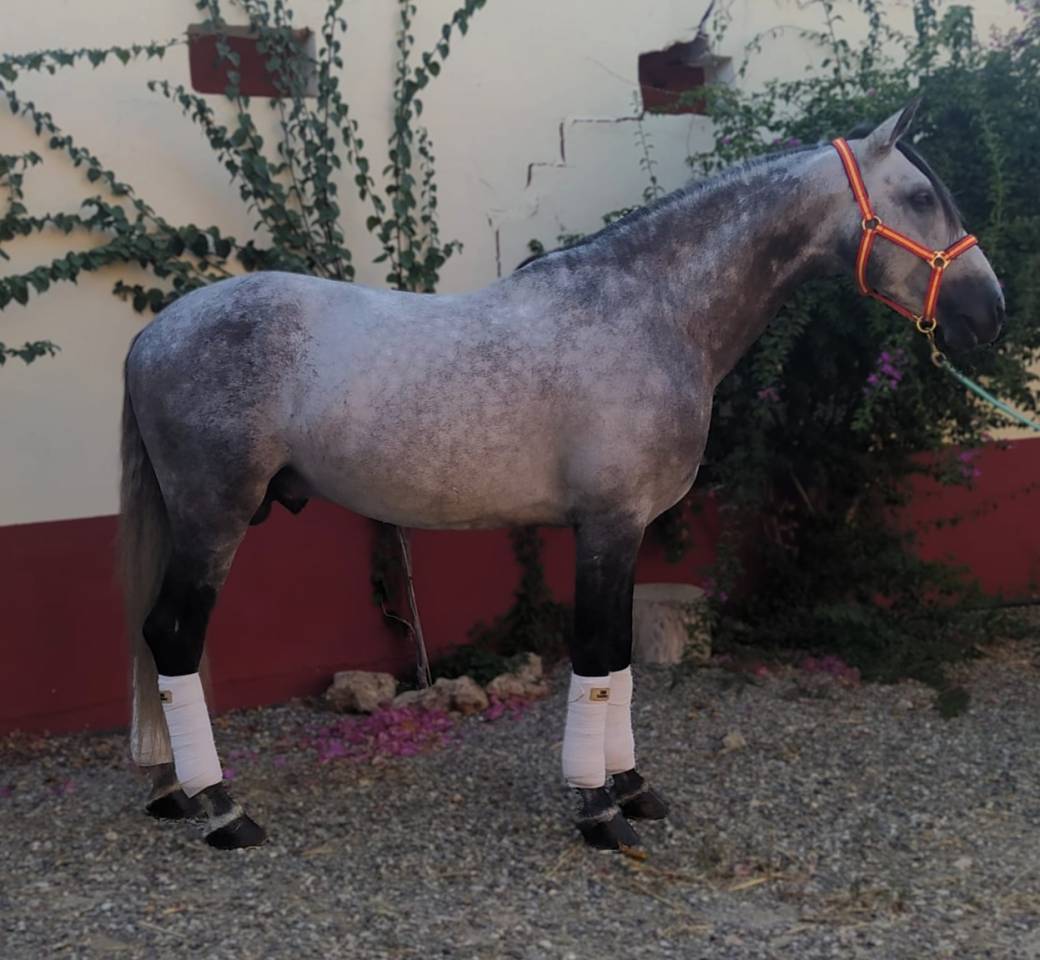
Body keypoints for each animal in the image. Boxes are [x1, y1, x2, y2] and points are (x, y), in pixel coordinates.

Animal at [120, 101, 1004, 850]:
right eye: (920, 196)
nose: (989, 313)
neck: (651, 311)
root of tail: (153, 335)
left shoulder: (628, 526)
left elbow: (618, 658)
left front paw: (633, 787)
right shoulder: (608, 523)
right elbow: (597, 652)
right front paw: (598, 808)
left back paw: (174, 792)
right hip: (213, 518)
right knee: (173, 637)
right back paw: (222, 809)